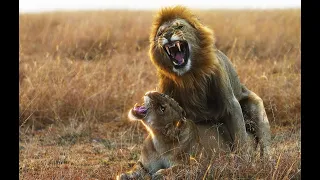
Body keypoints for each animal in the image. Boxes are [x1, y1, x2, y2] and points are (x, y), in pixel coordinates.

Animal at [149, 5, 272, 157]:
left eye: (179, 26)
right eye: (160, 33)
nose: (167, 35)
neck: (190, 76)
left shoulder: (231, 104)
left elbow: (240, 136)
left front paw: (243, 159)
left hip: (256, 108)